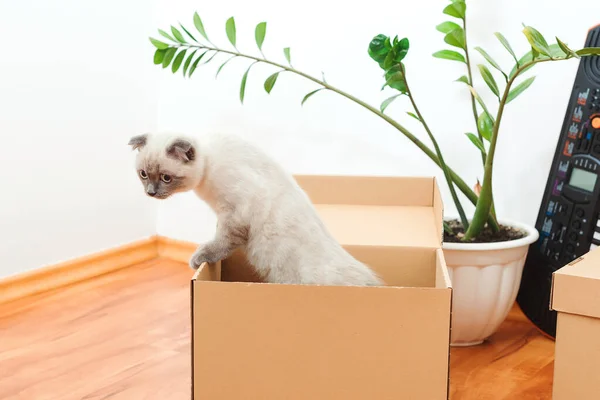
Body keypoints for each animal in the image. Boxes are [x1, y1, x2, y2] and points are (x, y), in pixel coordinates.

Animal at [128, 132, 384, 288]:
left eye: (166, 178)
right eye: (143, 174)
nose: (151, 192)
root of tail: (374, 284)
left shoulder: (236, 212)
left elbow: (222, 241)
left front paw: (199, 256)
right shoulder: (227, 215)